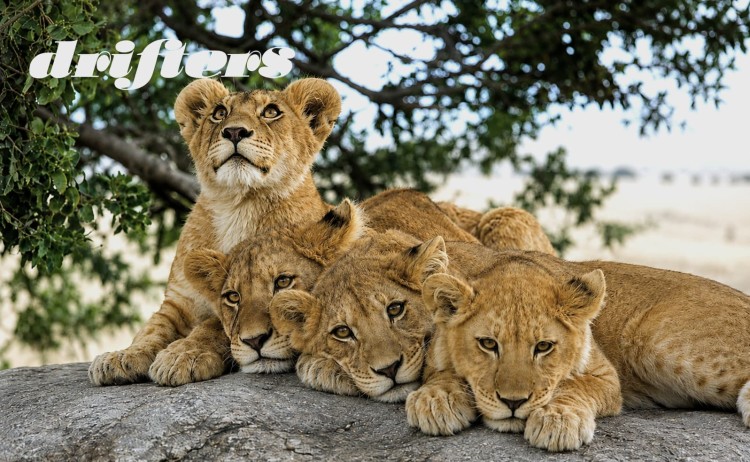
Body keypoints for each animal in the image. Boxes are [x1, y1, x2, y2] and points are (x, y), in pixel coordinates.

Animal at [88, 77, 342, 386]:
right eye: (219, 113)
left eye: (271, 112)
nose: (234, 131)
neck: (237, 205)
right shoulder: (179, 301)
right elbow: (152, 330)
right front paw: (121, 357)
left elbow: (215, 325)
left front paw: (182, 356)